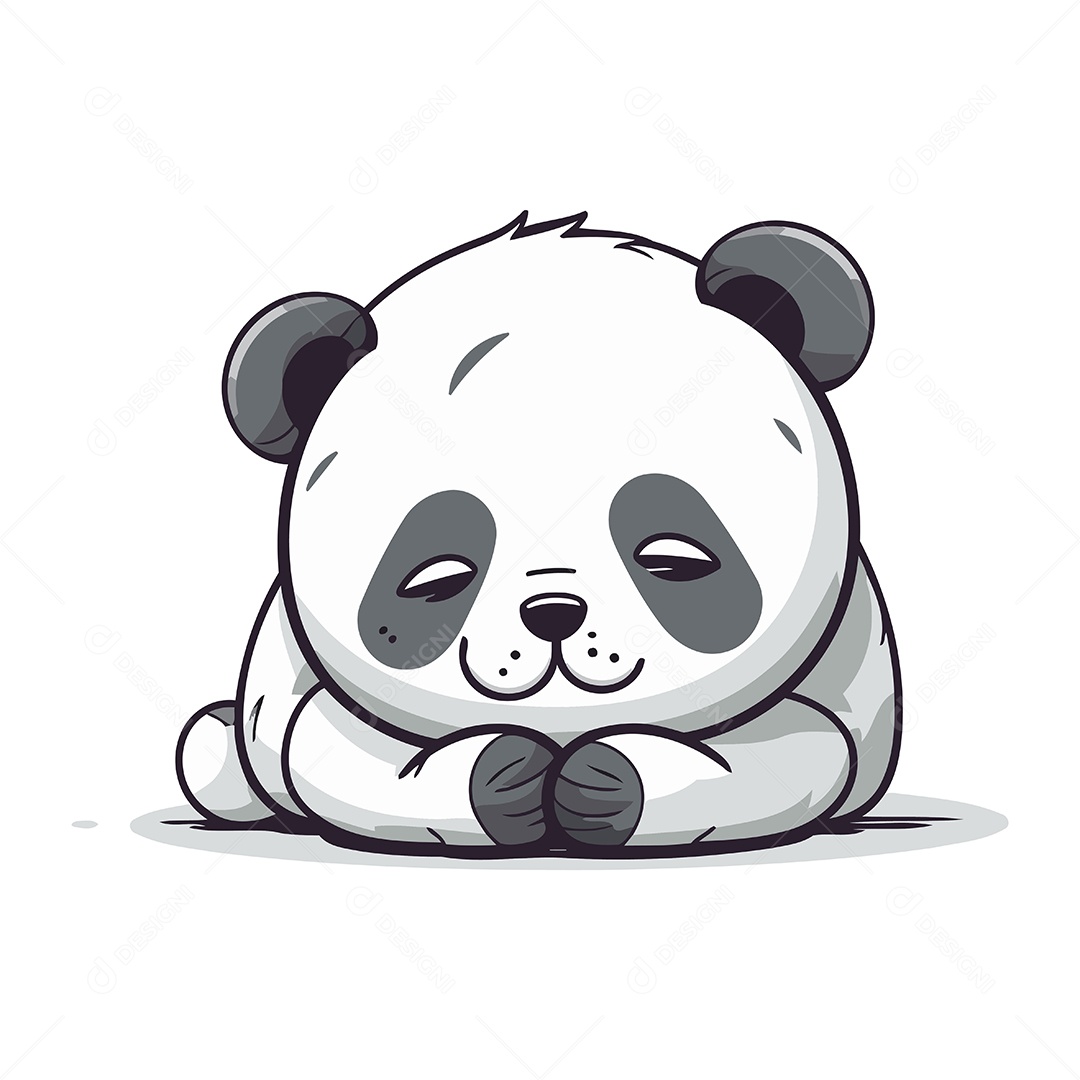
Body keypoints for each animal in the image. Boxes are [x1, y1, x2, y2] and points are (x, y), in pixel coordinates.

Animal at [176, 211, 901, 858]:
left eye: (673, 558)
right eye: (439, 575)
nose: (553, 612)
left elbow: (808, 745)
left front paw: (601, 782)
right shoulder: (302, 684)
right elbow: (327, 747)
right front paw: (510, 778)